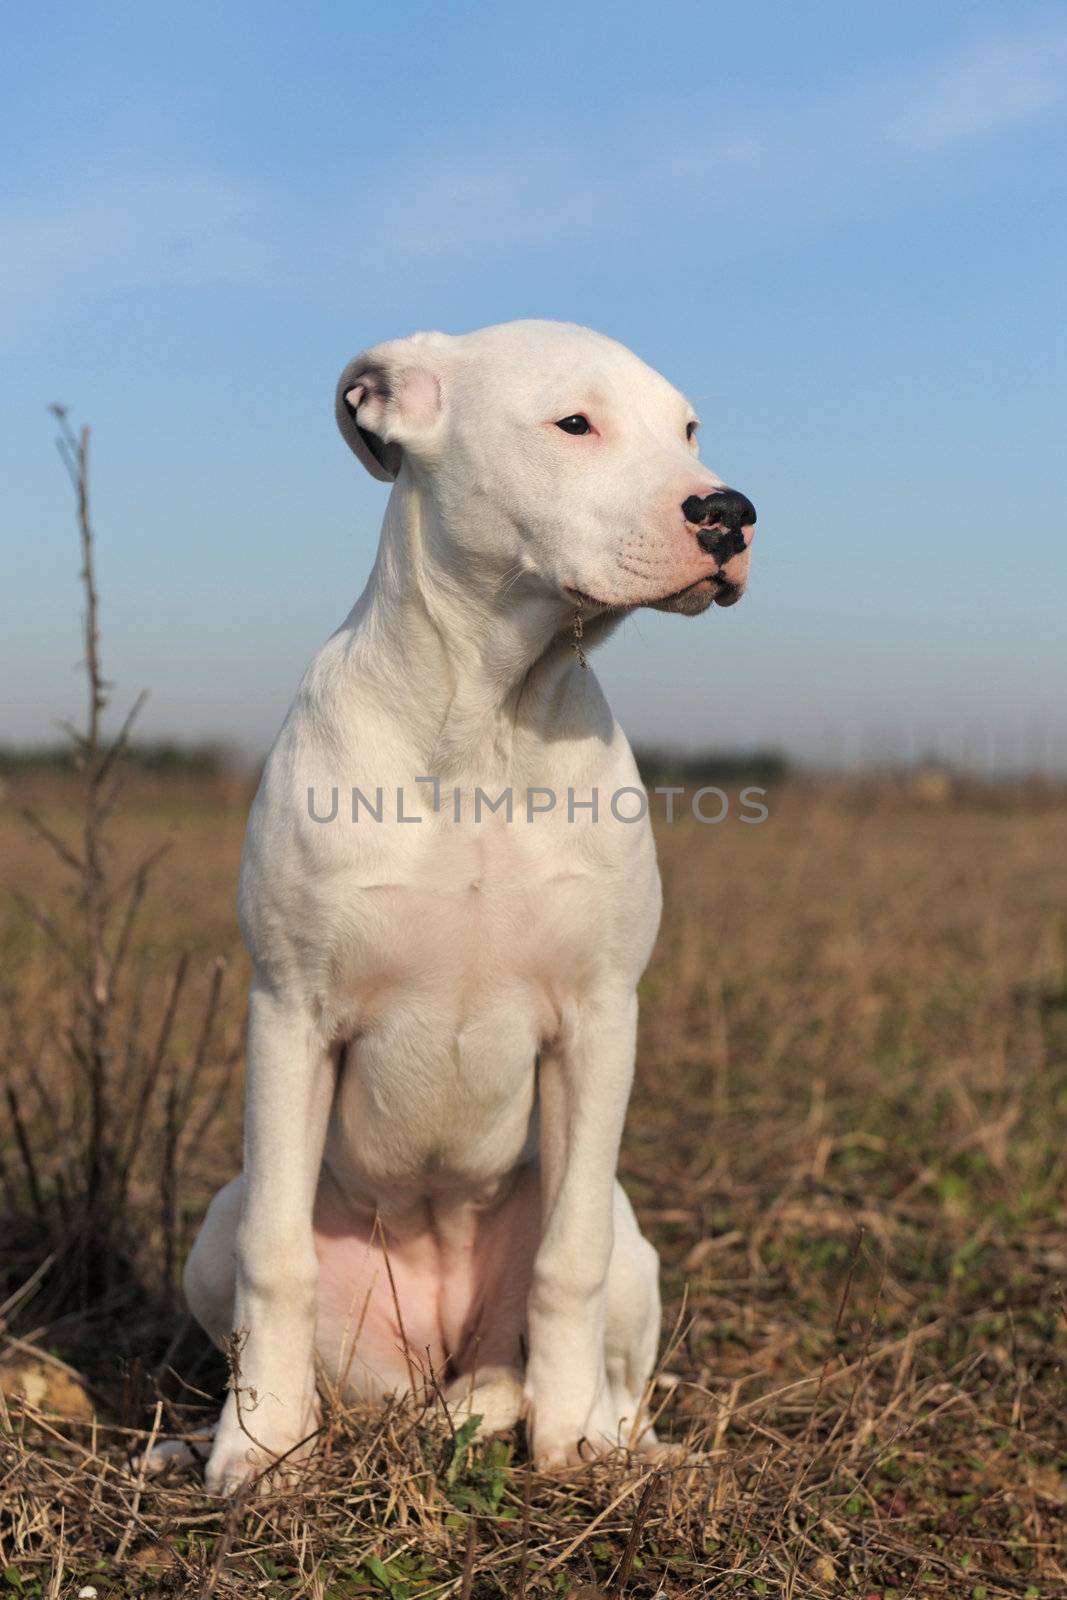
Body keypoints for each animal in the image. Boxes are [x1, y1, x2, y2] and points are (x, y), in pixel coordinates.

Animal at [187, 318, 758, 1491]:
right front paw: (257, 1450)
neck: (491, 719)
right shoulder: (289, 1010)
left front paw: (569, 1440)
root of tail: (438, 1355)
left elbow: (569, 1259)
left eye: (687, 430)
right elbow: (276, 1256)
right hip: (218, 1223)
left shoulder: (599, 1019)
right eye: (573, 423)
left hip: (622, 1227)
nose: (728, 511)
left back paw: (600, 1430)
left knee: (591, 1330)